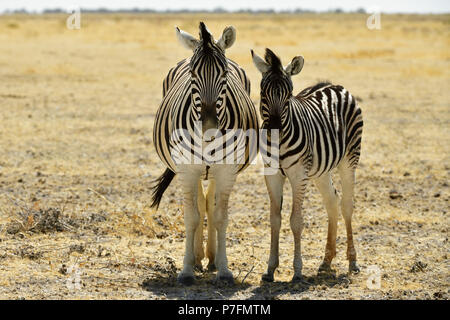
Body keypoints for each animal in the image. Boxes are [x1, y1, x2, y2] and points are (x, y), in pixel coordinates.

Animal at [151, 23, 258, 286]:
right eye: (192, 75)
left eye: (224, 74)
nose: (209, 125)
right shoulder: (187, 169)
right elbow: (191, 216)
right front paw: (187, 270)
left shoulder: (227, 170)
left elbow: (220, 216)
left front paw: (224, 270)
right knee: (200, 204)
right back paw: (199, 257)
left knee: (209, 203)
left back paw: (210, 258)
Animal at [251, 48, 364, 282]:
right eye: (262, 92)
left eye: (289, 94)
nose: (274, 127)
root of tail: (334, 85)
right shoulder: (272, 175)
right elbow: (274, 219)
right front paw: (270, 269)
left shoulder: (297, 175)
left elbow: (296, 221)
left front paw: (297, 271)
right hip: (320, 171)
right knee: (332, 201)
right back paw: (326, 261)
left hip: (349, 159)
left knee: (346, 205)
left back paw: (352, 261)